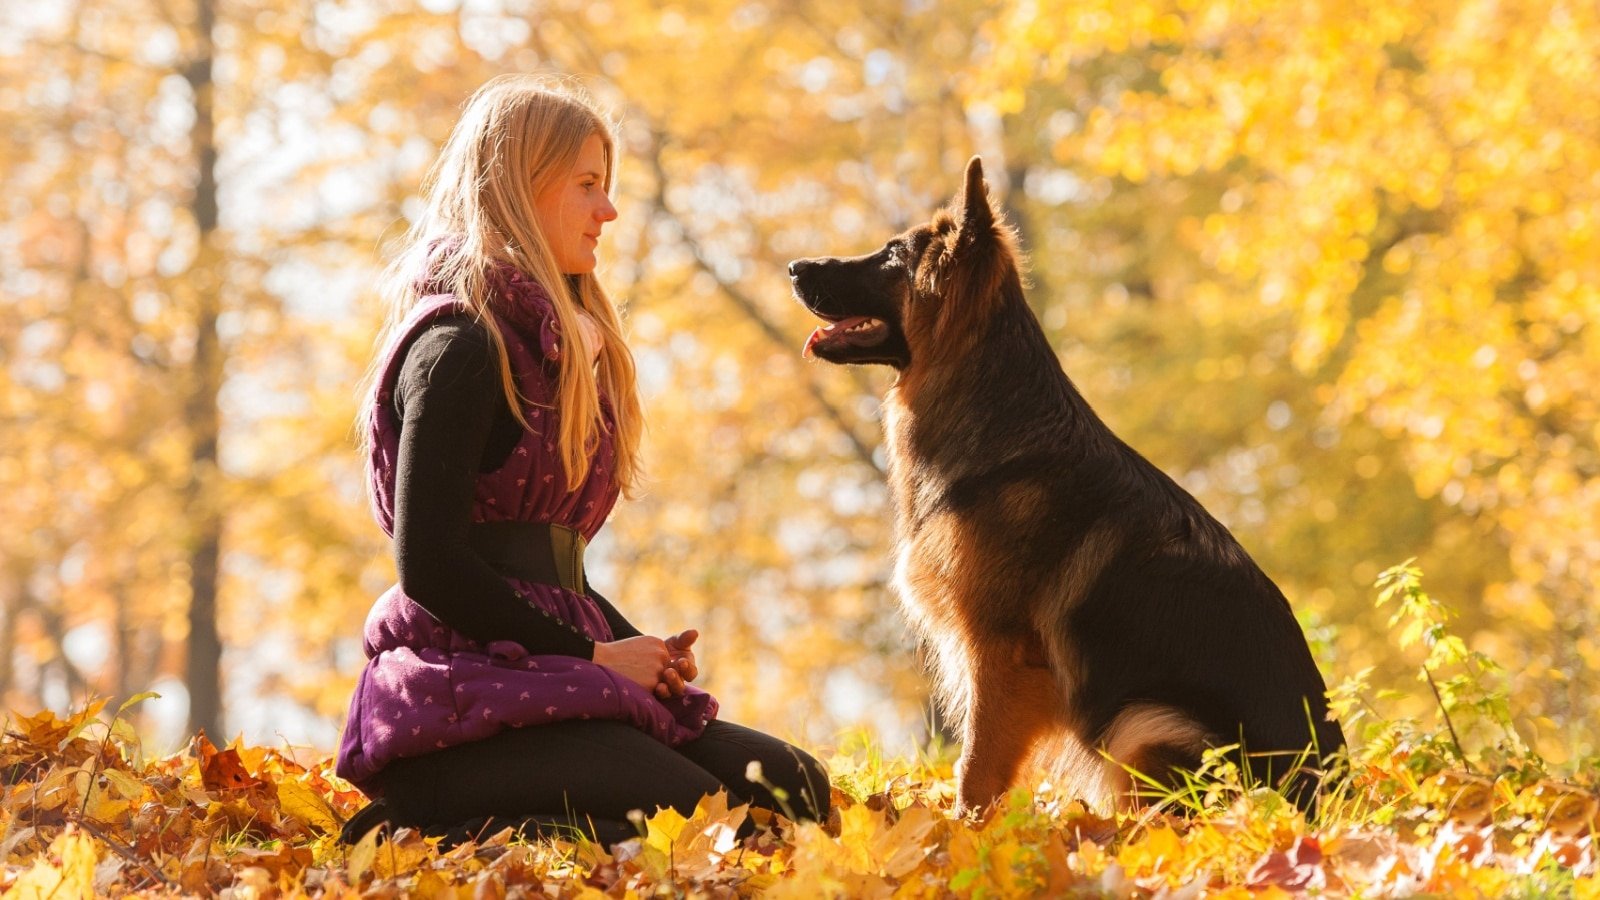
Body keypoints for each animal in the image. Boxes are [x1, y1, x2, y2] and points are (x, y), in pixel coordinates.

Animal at [793, 159, 1344, 813]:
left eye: (891, 254)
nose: (795, 266)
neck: (994, 407)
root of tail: (1324, 795)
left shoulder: (1000, 657)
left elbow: (975, 768)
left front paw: (963, 831)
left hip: (1144, 723)